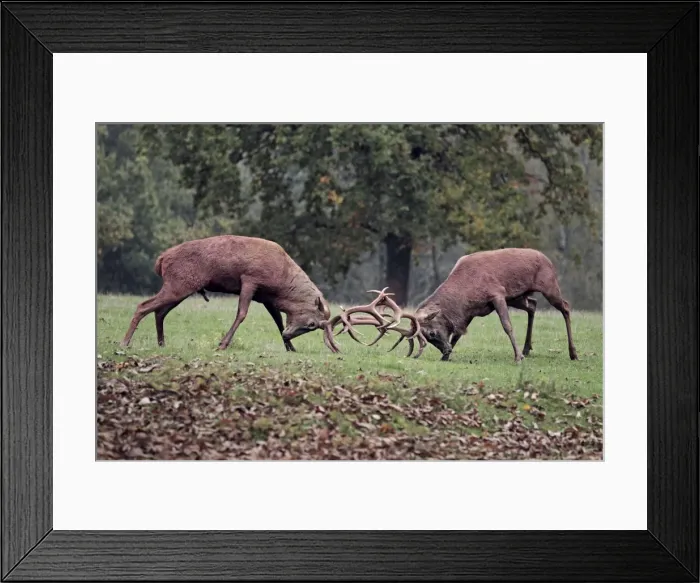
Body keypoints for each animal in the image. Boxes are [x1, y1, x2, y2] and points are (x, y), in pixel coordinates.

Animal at [120, 235, 343, 353]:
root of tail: (161, 260)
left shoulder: (266, 298)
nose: (288, 335)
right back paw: (124, 342)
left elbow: (278, 320)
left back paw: (161, 344)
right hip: (179, 285)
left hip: (181, 287)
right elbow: (242, 313)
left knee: (159, 312)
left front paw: (290, 348)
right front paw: (222, 344)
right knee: (144, 306)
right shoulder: (250, 279)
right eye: (312, 324)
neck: (280, 284)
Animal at [332, 248, 578, 363]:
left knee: (565, 306)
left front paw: (517, 357)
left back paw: (572, 353)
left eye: (431, 333)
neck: (466, 291)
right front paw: (446, 356)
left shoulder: (497, 294)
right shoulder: (471, 312)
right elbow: (459, 332)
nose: (445, 350)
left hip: (548, 285)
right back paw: (528, 348)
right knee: (533, 305)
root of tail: (547, 259)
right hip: (518, 296)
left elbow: (507, 326)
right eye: (427, 338)